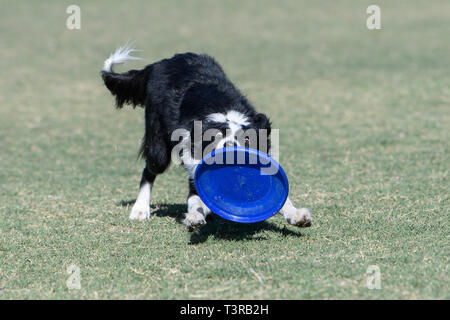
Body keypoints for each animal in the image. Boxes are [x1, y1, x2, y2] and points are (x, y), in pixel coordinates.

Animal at [101, 45, 312, 231]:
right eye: (214, 139)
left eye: (246, 140)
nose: (229, 149)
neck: (224, 111)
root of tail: (160, 64)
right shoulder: (194, 168)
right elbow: (195, 202)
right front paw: (195, 218)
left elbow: (282, 198)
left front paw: (297, 216)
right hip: (158, 142)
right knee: (149, 171)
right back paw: (140, 209)